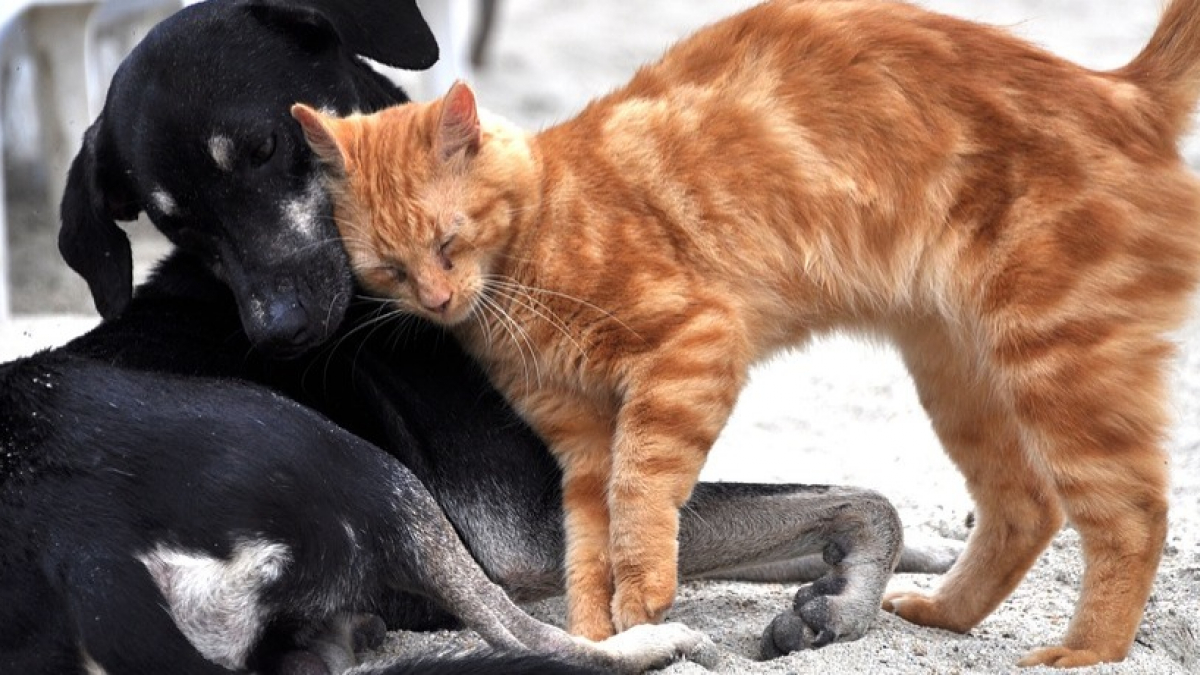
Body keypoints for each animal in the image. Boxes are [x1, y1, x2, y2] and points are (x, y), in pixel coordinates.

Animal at [4, 2, 950, 667]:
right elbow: (864, 498)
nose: (280, 335)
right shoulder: (530, 520)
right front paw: (847, 599)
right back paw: (659, 644)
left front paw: (912, 559)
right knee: (539, 639)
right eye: (175, 225)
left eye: (268, 147)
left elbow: (835, 505)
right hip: (358, 464)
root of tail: (75, 541)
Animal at [290, 0, 1200, 662]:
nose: (438, 298)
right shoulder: (577, 446)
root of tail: (1121, 88)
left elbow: (640, 497)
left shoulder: (690, 349)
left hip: (1055, 360)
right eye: (388, 268)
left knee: (1132, 514)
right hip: (959, 371)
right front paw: (603, 626)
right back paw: (944, 613)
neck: (540, 238)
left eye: (448, 241)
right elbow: (589, 545)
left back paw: (1085, 653)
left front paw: (643, 597)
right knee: (1026, 505)